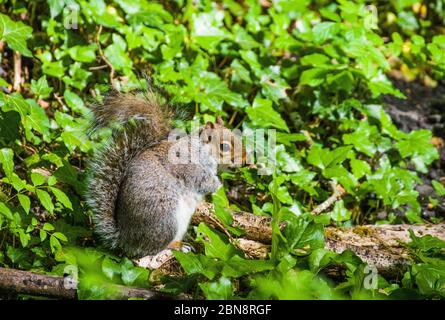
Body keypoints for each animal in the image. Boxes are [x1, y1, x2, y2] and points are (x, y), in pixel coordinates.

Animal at [85, 89, 245, 258]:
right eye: (224, 147)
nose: (245, 160)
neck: (201, 149)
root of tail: (126, 238)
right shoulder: (188, 167)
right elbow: (202, 181)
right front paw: (218, 185)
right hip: (166, 218)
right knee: (153, 249)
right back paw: (176, 247)